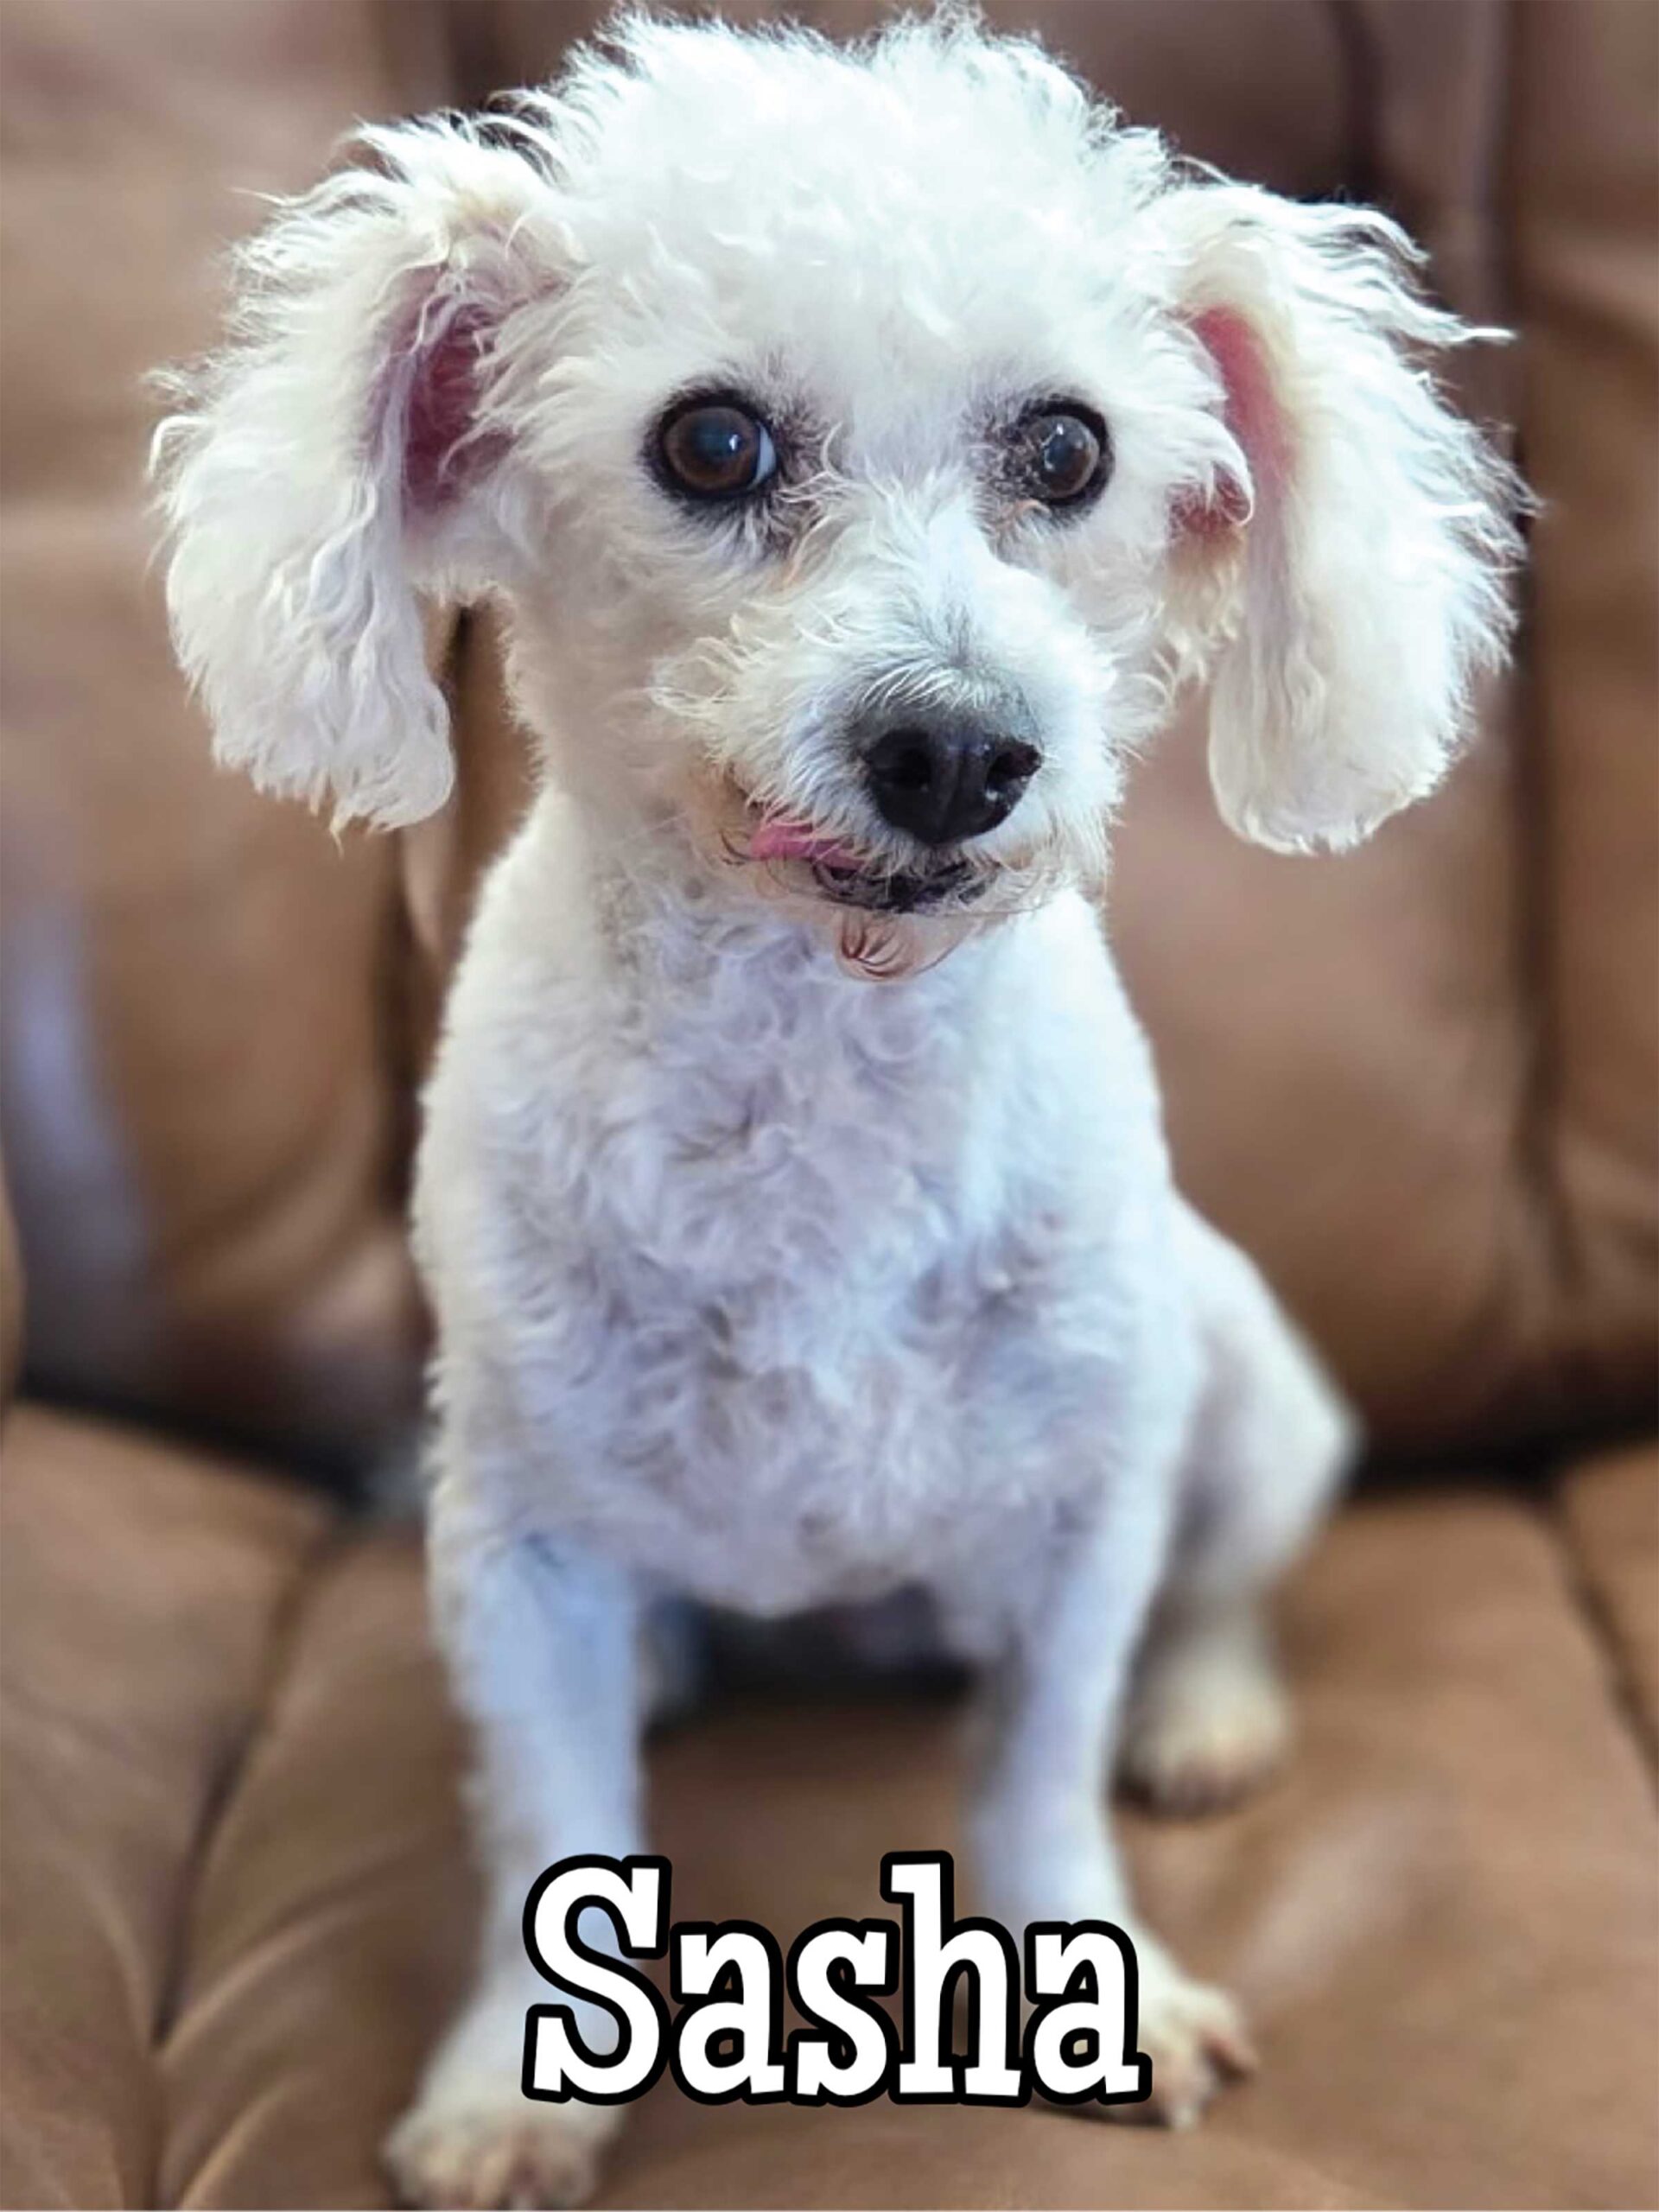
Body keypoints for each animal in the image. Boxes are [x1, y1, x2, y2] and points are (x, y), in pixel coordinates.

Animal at [155, 10, 1520, 2203]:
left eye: (1068, 451)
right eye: (711, 445)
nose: (958, 749)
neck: (819, 1071)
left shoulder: (1081, 1506)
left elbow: (1042, 1776)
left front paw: (1106, 1983)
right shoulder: (516, 1548)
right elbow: (551, 1823)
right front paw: (519, 2085)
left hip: (1233, 1377)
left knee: (1224, 1580)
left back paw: (1207, 1713)